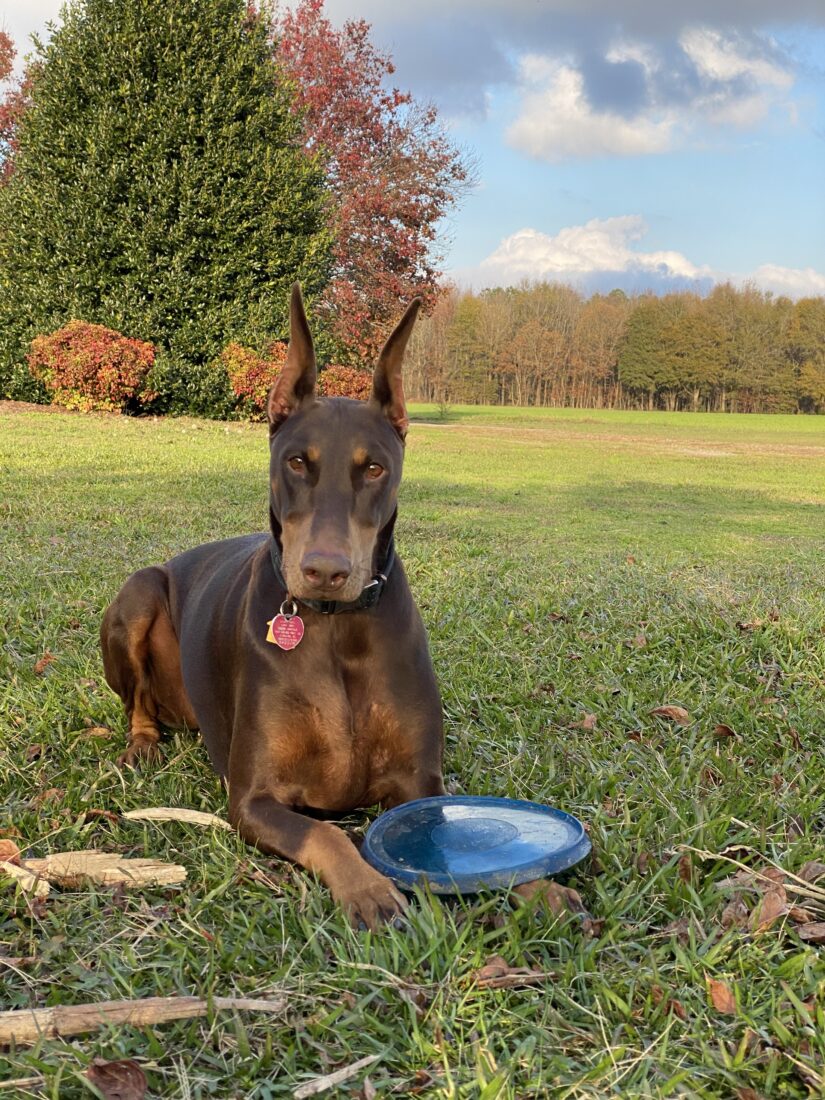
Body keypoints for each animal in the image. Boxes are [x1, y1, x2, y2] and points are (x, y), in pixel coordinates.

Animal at [101, 286, 448, 928]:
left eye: (374, 467)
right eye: (296, 461)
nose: (325, 571)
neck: (335, 628)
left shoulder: (421, 782)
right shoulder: (252, 799)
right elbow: (326, 833)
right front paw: (368, 889)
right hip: (138, 593)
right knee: (137, 702)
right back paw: (142, 744)